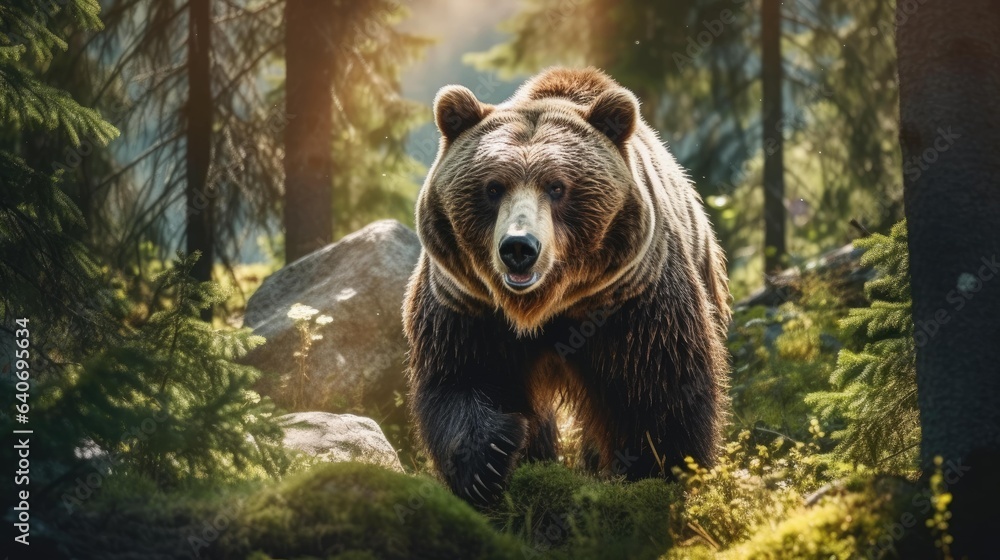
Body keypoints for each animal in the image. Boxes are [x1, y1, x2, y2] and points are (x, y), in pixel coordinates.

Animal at [403, 67, 731, 507]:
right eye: (493, 187)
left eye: (557, 187)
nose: (519, 248)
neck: (546, 306)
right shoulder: (468, 303)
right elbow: (461, 376)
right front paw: (491, 459)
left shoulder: (632, 301)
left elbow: (658, 386)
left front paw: (657, 472)